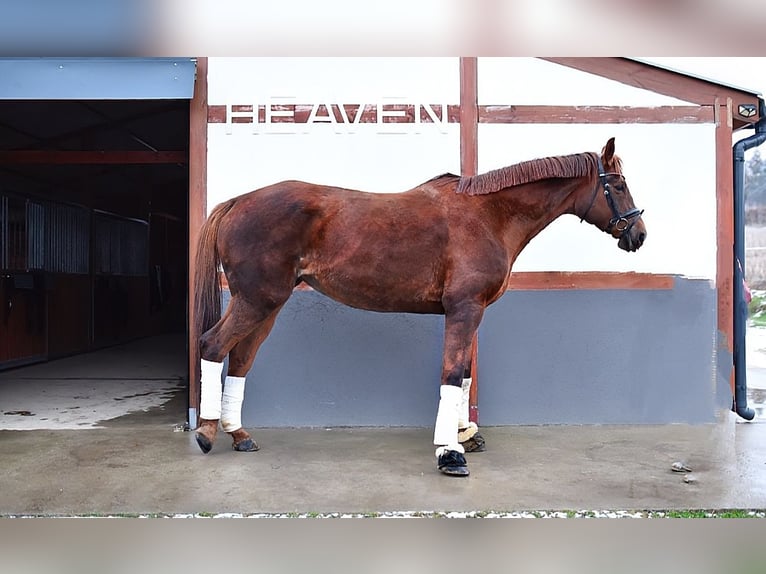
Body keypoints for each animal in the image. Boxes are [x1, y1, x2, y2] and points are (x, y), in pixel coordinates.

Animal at [192, 137, 646, 477]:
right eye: (620, 184)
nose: (638, 234)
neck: (490, 215)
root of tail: (237, 201)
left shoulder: (472, 312)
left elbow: (464, 375)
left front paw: (465, 435)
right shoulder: (465, 309)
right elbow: (452, 375)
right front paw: (449, 453)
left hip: (266, 305)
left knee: (241, 358)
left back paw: (239, 434)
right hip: (257, 301)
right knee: (213, 346)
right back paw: (207, 434)